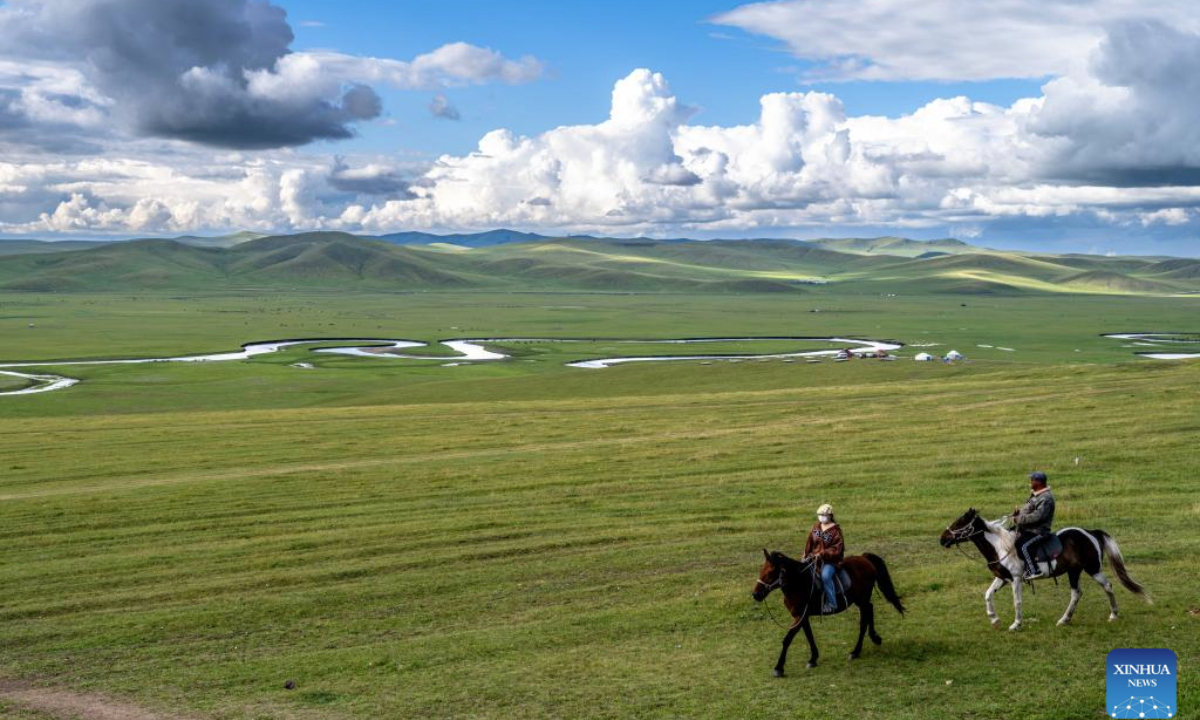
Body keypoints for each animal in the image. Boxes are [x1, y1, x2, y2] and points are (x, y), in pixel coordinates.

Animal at [752, 549, 905, 676]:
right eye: (761, 570)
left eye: (771, 572)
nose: (756, 594)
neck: (799, 583)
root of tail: (864, 558)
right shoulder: (801, 616)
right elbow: (809, 636)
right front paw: (813, 659)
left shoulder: (800, 616)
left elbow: (787, 640)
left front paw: (778, 668)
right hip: (862, 600)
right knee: (870, 609)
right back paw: (875, 638)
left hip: (862, 599)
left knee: (864, 620)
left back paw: (855, 651)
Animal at [940, 508, 1148, 631]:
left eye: (960, 522)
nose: (942, 539)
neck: (1000, 547)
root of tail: (1090, 532)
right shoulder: (1002, 578)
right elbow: (988, 594)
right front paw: (994, 619)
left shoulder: (1016, 579)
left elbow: (1017, 601)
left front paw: (1016, 624)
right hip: (1074, 571)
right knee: (1076, 593)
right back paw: (1064, 619)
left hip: (1092, 569)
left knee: (1107, 586)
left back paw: (1113, 615)